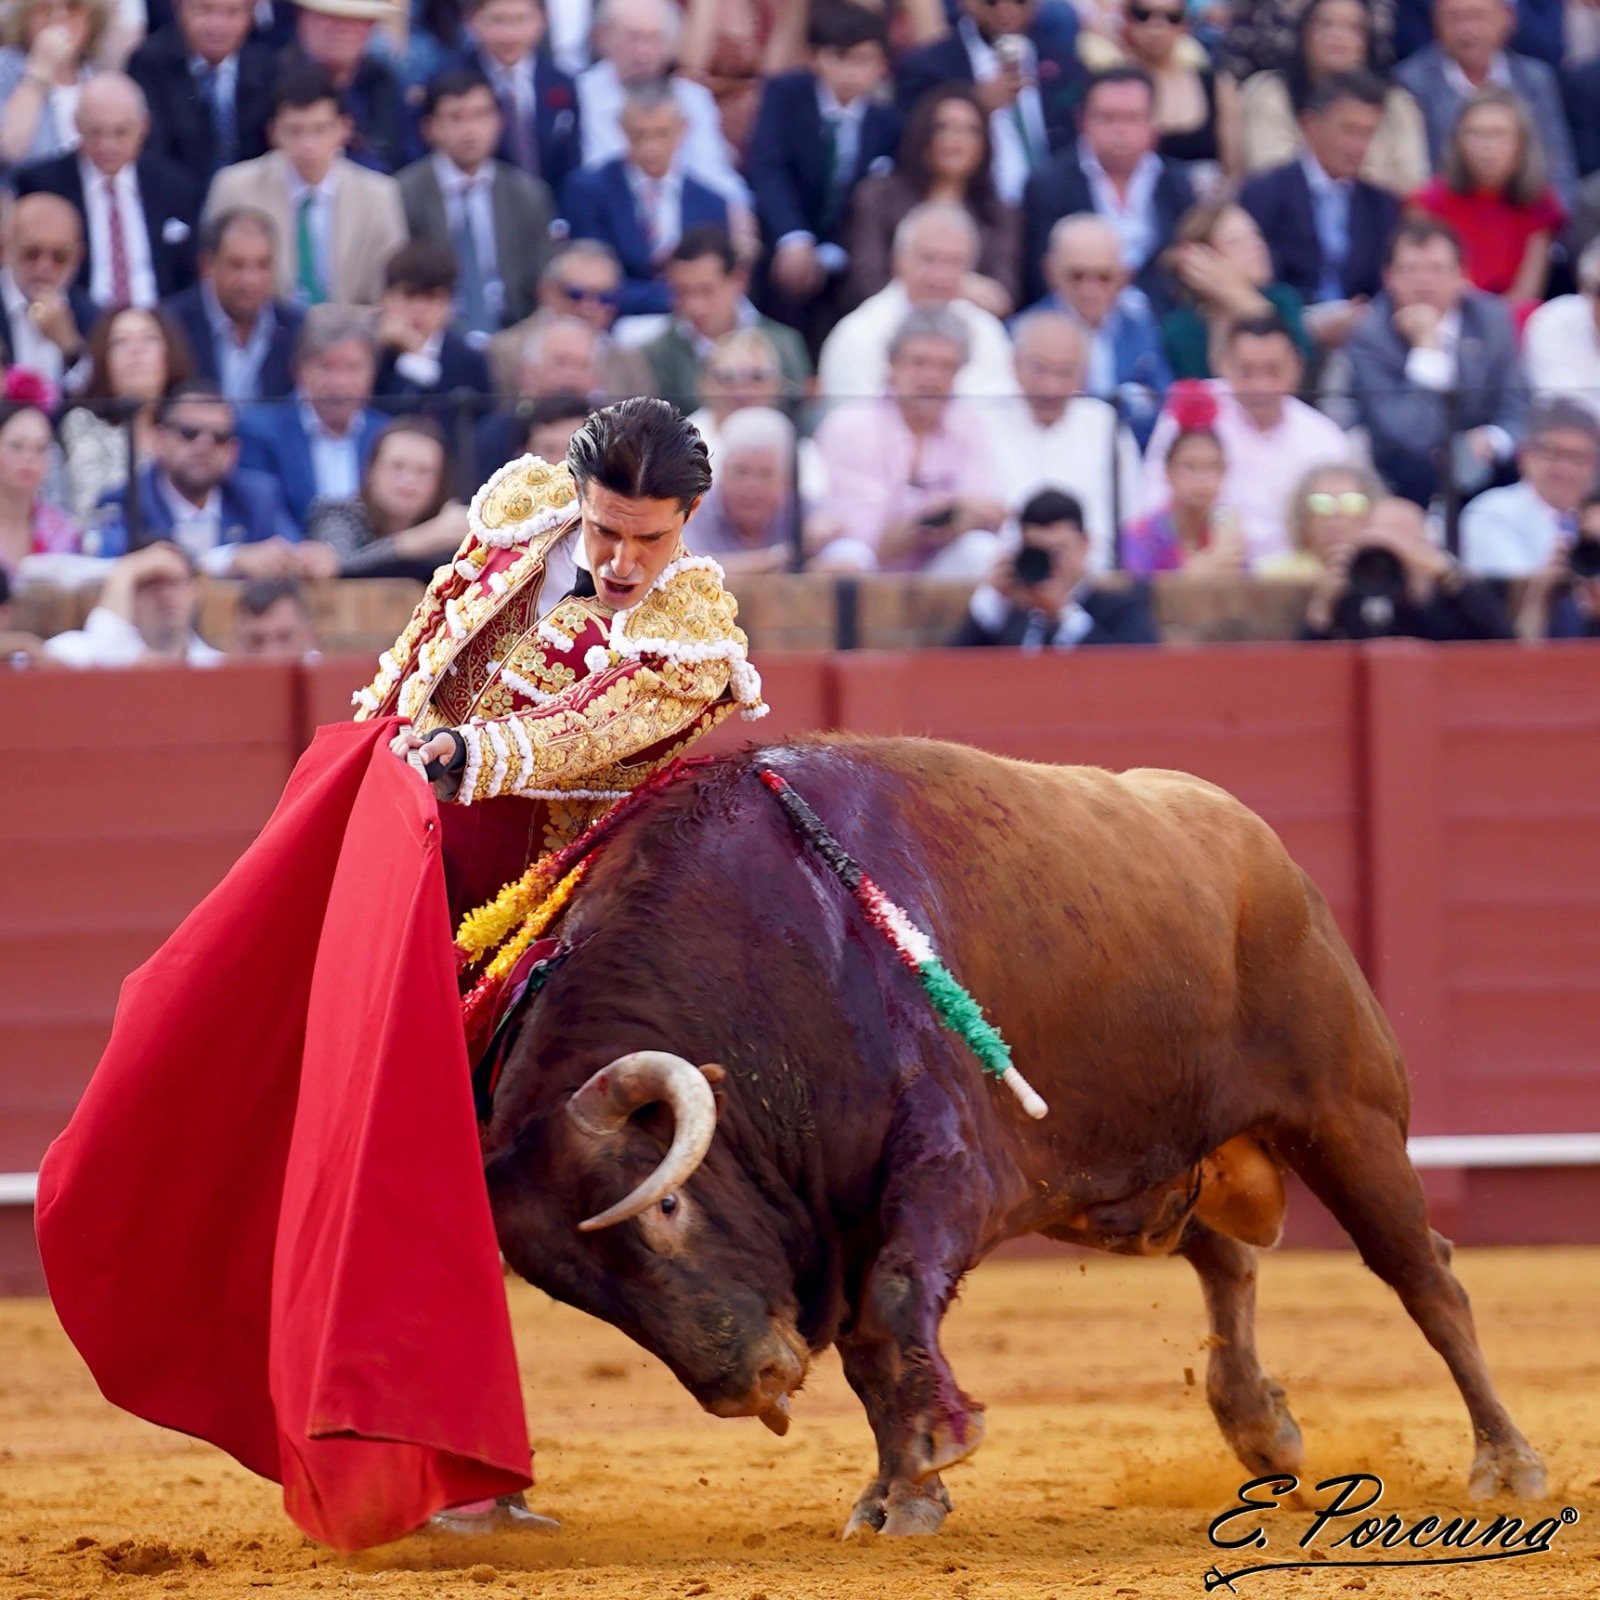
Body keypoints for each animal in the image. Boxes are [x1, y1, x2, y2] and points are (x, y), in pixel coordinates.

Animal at [480, 736, 1546, 1537]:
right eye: (578, 1289)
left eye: (668, 1204)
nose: (753, 1382)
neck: (767, 965)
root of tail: (1259, 845)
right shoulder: (850, 1210)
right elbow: (868, 1350)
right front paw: (898, 1493)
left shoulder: (950, 1169)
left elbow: (890, 1307)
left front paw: (928, 1464)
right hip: (1138, 1179)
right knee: (1227, 1258)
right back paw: (1262, 1432)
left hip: (1347, 1119)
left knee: (1425, 1276)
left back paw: (1508, 1464)